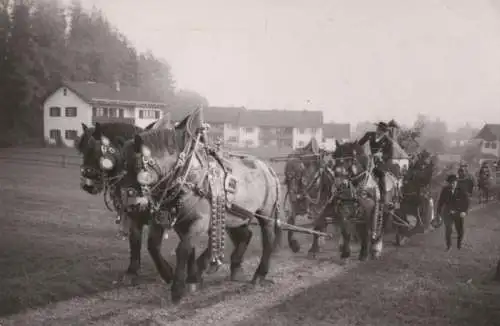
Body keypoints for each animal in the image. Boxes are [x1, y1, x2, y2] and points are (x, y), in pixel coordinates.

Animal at [117, 108, 282, 304]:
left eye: (137, 167)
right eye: (123, 166)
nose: (130, 204)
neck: (188, 175)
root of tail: (267, 168)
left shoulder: (200, 221)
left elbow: (183, 249)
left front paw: (179, 287)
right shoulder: (174, 220)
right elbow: (155, 245)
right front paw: (174, 274)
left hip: (266, 213)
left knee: (268, 240)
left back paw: (259, 274)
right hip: (236, 216)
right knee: (245, 235)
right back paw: (234, 268)